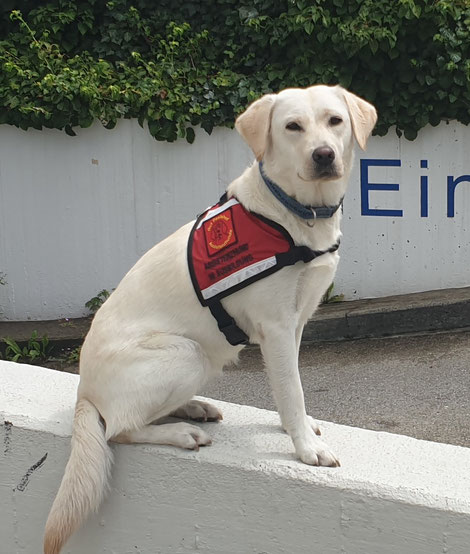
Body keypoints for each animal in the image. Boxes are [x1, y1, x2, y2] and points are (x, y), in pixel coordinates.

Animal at [43, 84, 374, 548]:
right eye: (292, 126)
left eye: (335, 121)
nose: (324, 155)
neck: (296, 215)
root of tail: (83, 392)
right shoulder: (276, 328)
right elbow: (291, 391)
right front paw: (306, 449)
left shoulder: (297, 324)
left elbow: (290, 390)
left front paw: (299, 429)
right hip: (188, 354)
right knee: (118, 430)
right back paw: (181, 432)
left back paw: (193, 408)